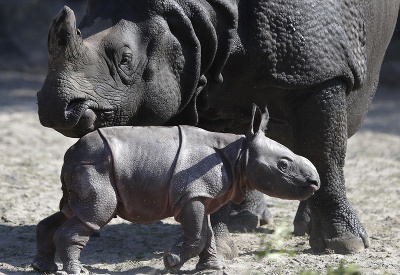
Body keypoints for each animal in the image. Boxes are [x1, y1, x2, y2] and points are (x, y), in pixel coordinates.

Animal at [32, 105, 318, 274]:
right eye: (283, 165)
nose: (315, 181)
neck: (240, 152)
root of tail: (70, 152)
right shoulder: (190, 193)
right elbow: (199, 234)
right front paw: (171, 261)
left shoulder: (201, 194)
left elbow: (207, 234)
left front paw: (212, 269)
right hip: (94, 164)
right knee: (95, 213)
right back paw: (77, 271)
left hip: (85, 163)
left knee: (73, 211)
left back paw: (44, 268)